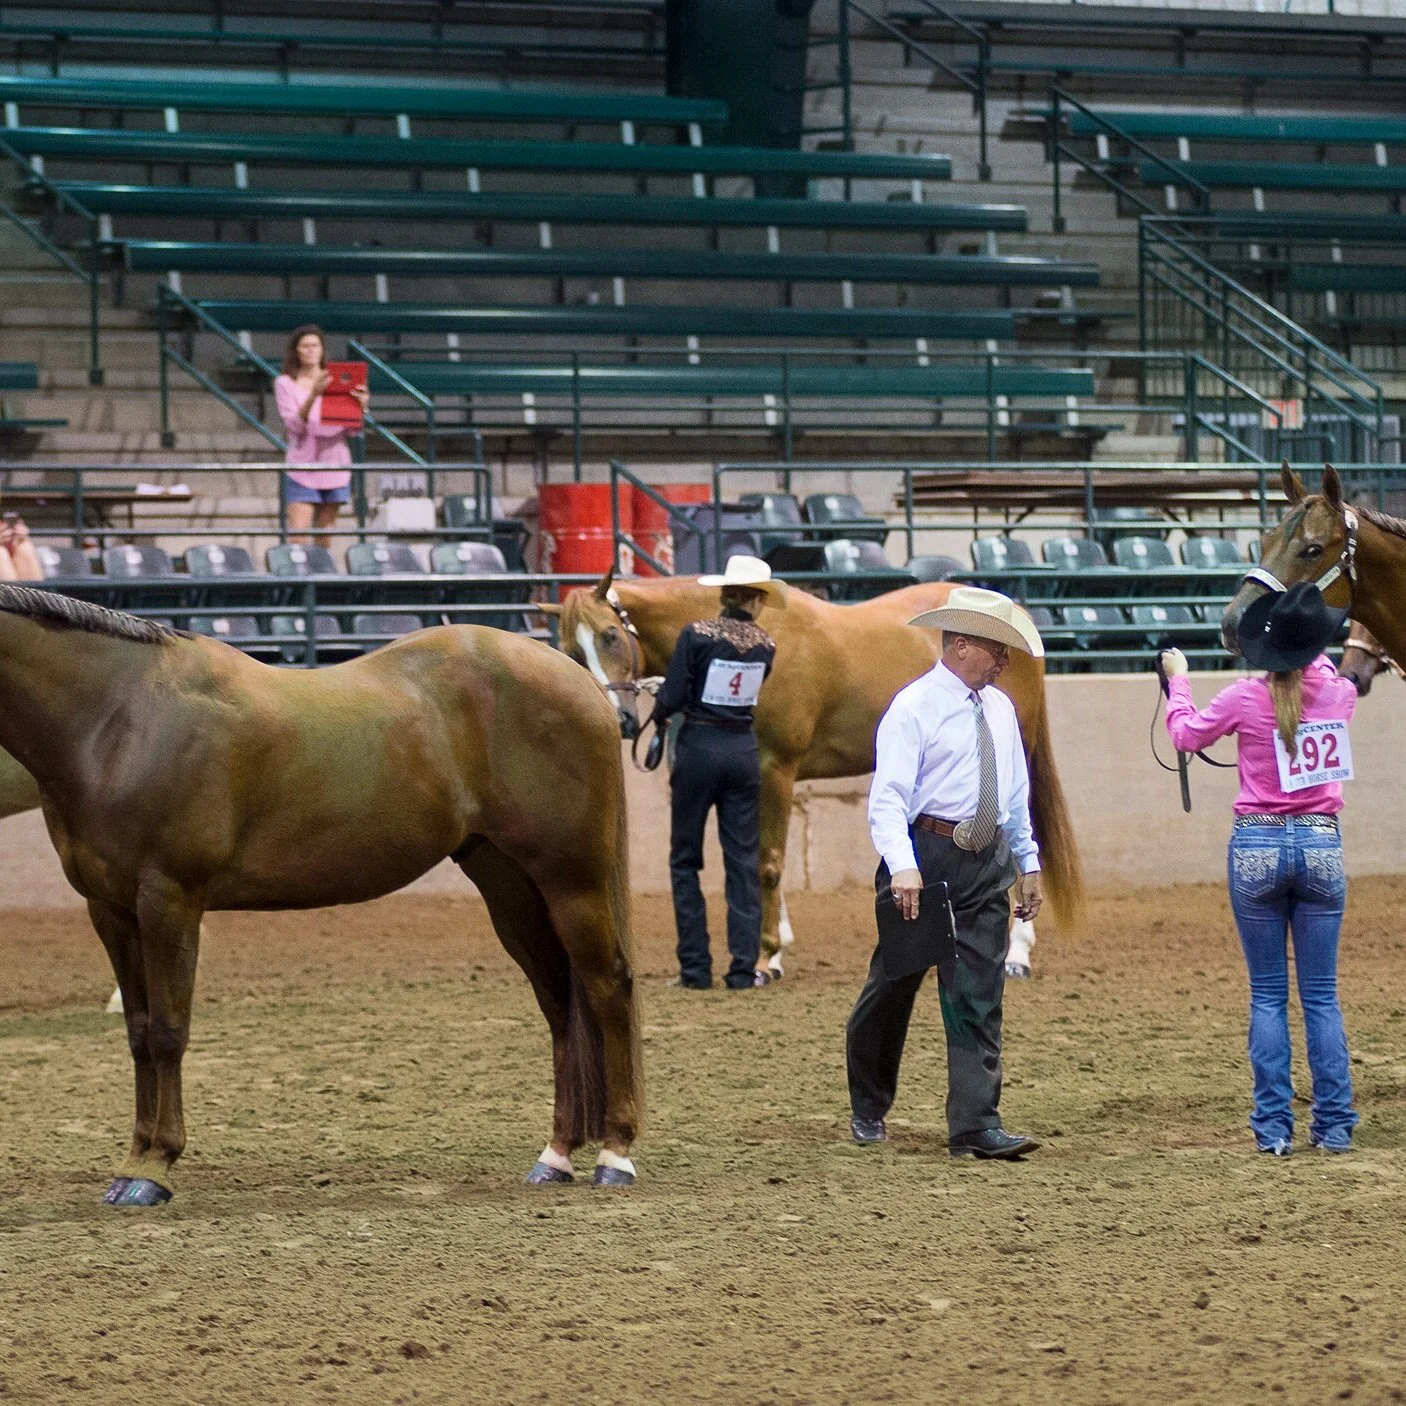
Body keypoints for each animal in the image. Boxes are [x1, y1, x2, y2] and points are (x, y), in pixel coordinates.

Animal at [0, 584, 642, 1206]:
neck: (121, 717)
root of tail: (577, 678)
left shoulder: (169, 900)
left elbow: (167, 1031)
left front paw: (156, 1168)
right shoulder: (110, 910)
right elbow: (137, 1033)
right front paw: (131, 1163)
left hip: (572, 880)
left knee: (607, 986)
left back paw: (614, 1155)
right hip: (509, 884)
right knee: (559, 1002)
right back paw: (556, 1157)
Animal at [542, 572, 1084, 974]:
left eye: (611, 635)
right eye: (569, 649)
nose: (617, 719)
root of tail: (1017, 621)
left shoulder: (775, 767)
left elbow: (767, 860)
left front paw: (766, 957)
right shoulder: (754, 779)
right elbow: (752, 857)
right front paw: (777, 939)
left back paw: (1017, 952)